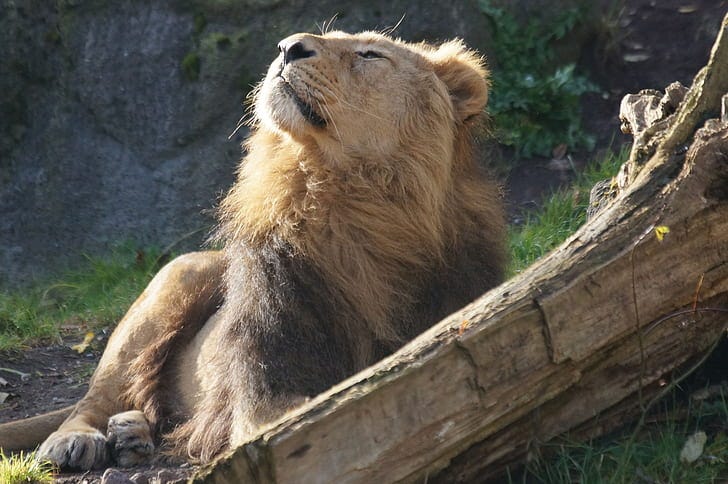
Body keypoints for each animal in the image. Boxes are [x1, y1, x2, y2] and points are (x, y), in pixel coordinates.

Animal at [0, 30, 506, 470]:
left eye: (369, 54)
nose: (288, 46)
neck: (351, 207)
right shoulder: (263, 392)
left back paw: (131, 435)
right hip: (176, 278)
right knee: (96, 396)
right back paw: (78, 440)